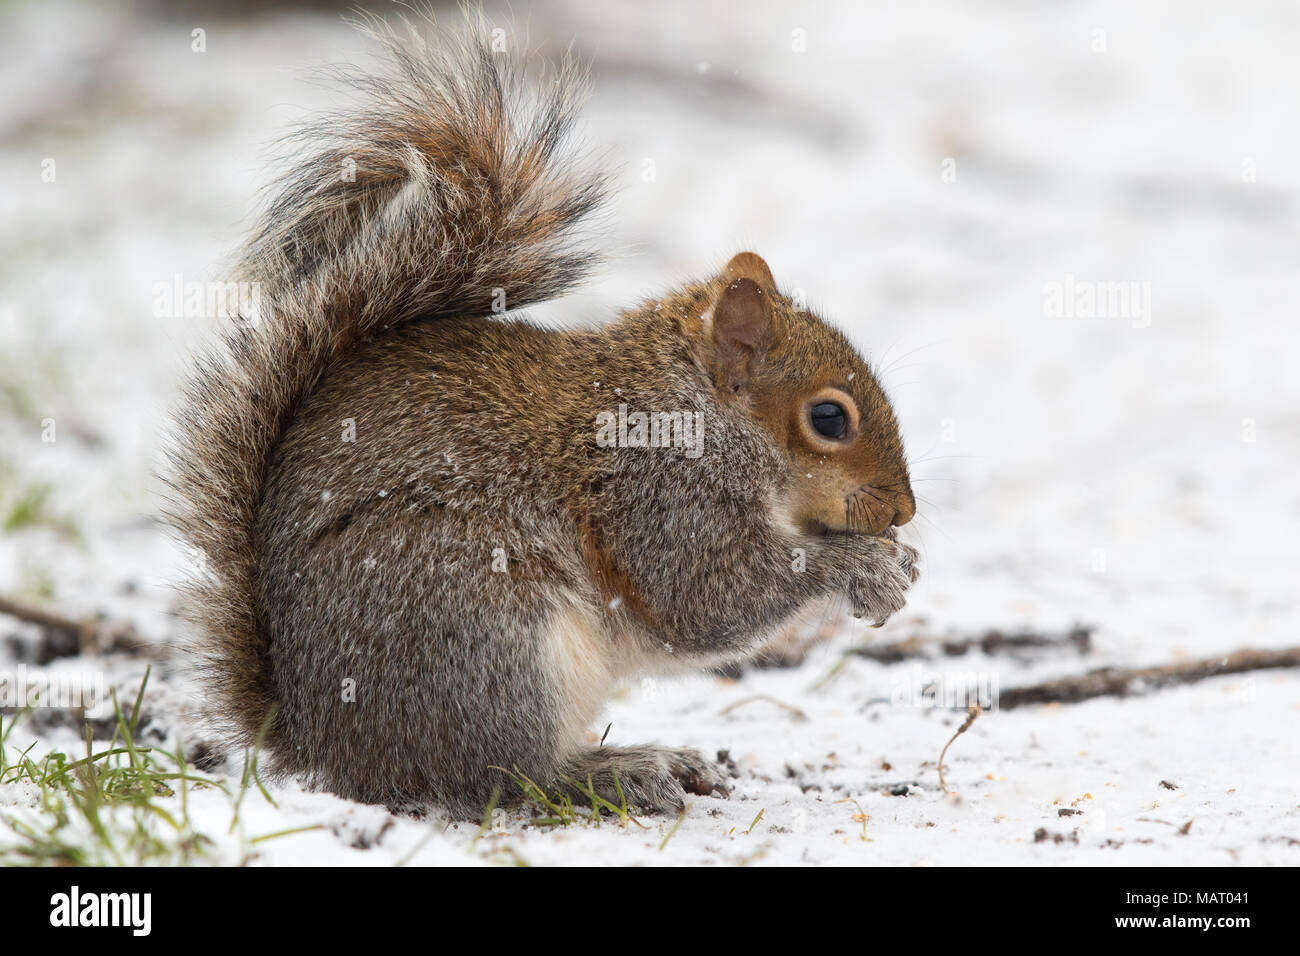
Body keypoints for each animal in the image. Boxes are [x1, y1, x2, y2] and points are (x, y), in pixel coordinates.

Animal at [168, 16, 920, 819]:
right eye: (829, 419)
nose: (903, 510)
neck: (698, 408)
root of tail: (315, 738)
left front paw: (894, 561)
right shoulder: (659, 491)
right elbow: (706, 595)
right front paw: (864, 567)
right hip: (490, 625)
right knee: (500, 773)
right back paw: (615, 771)